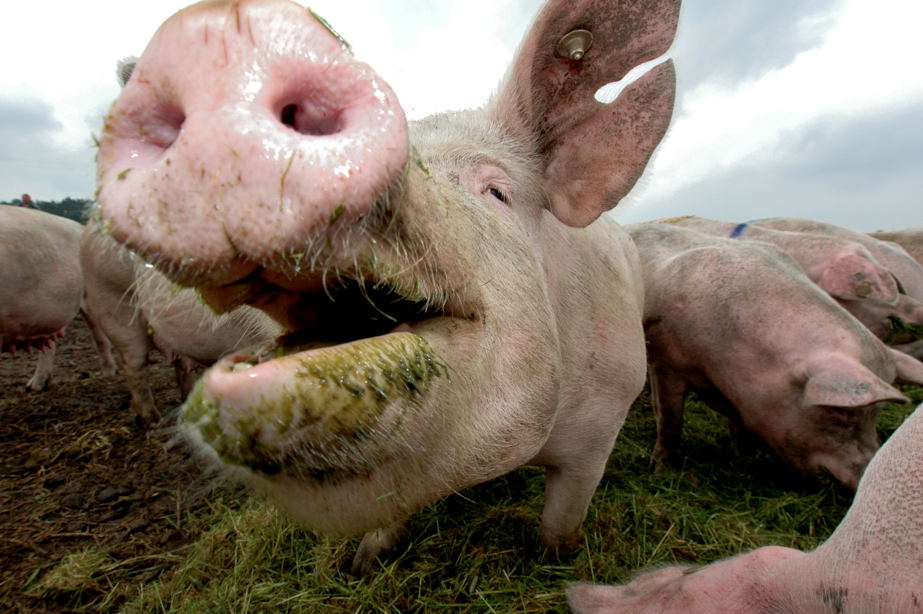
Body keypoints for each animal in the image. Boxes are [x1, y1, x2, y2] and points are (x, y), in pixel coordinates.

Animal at [0, 206, 110, 390]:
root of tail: (80, 227)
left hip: (89, 294)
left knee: (99, 334)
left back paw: (109, 374)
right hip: (45, 315)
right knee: (48, 343)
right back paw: (35, 386)